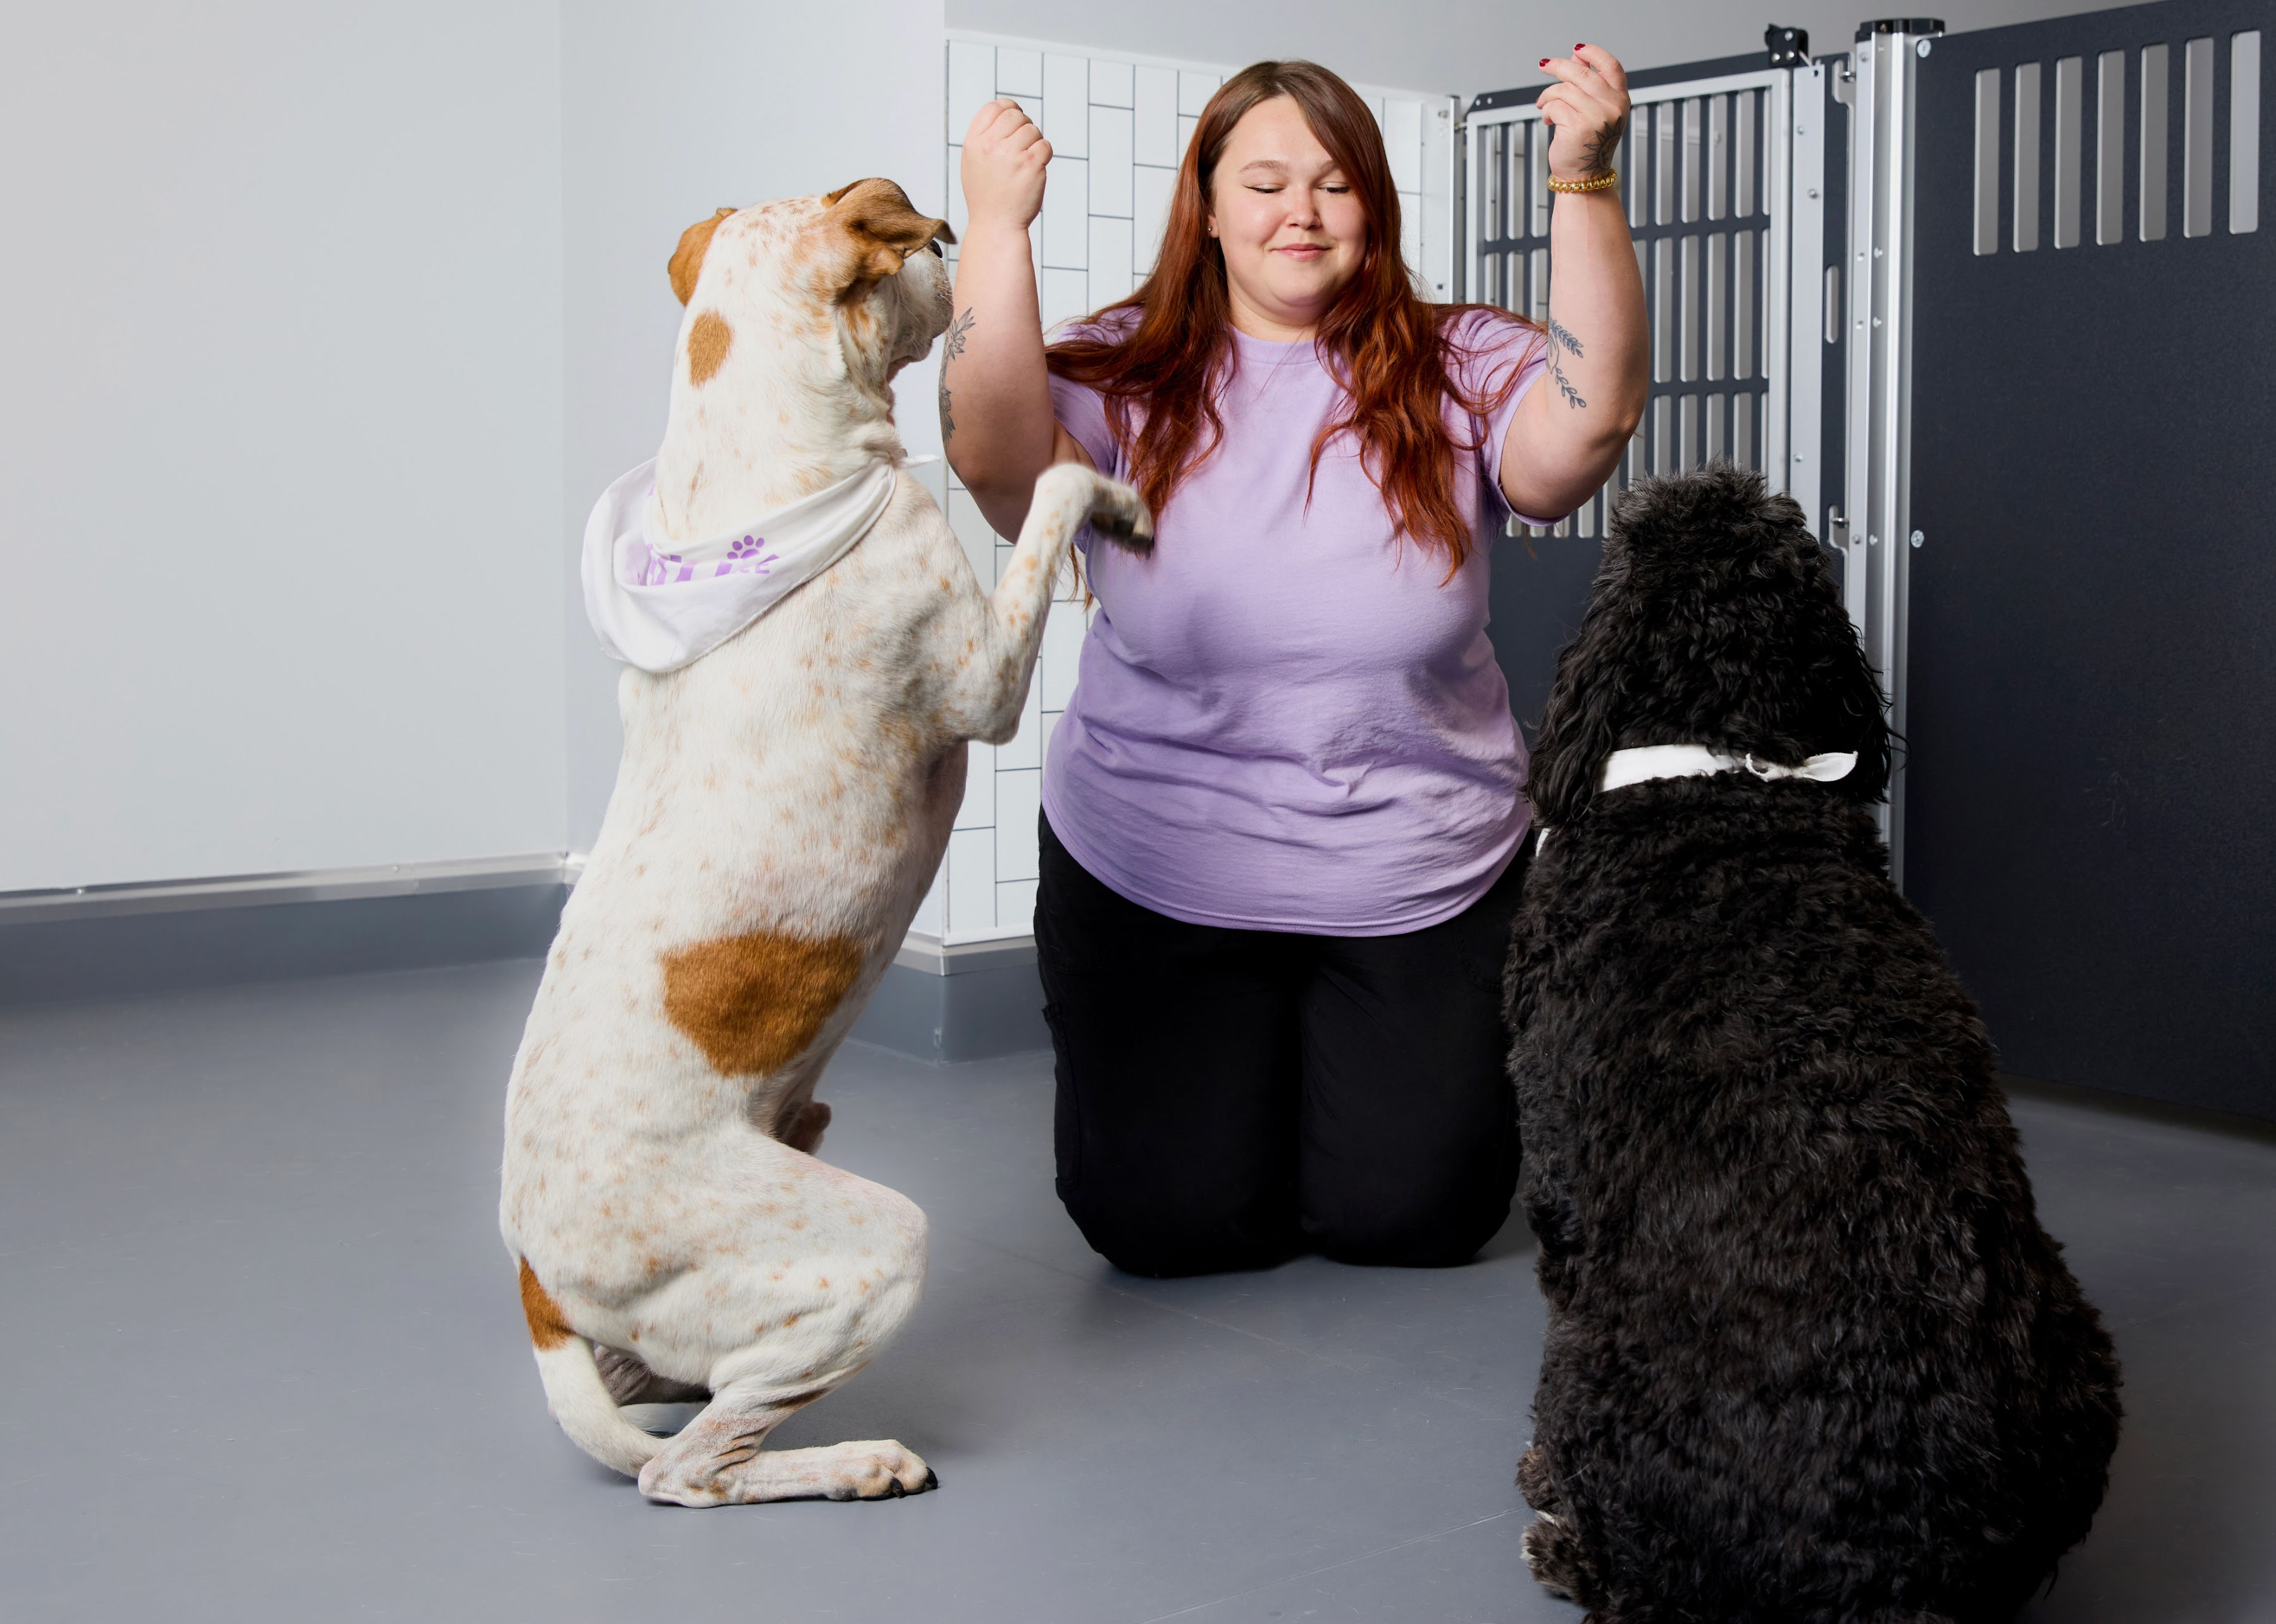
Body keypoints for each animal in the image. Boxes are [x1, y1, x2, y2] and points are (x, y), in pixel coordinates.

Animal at [499, 179, 1151, 1506]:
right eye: (932, 242)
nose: (959, 243)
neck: (752, 482)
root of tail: (535, 1274)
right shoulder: (982, 676)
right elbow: (1056, 490)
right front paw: (1113, 496)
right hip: (869, 1251)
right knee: (685, 1470)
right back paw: (852, 1462)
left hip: (731, 1261)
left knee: (660, 1395)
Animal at [1503, 466, 2121, 1621]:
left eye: (1624, 542)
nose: (1685, 472)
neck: (1719, 770)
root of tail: (1889, 1566)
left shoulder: (1558, 1172)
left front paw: (1537, 1482)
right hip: (2082, 1357)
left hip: (1593, 1372)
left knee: (1635, 1582)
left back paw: (1563, 1542)